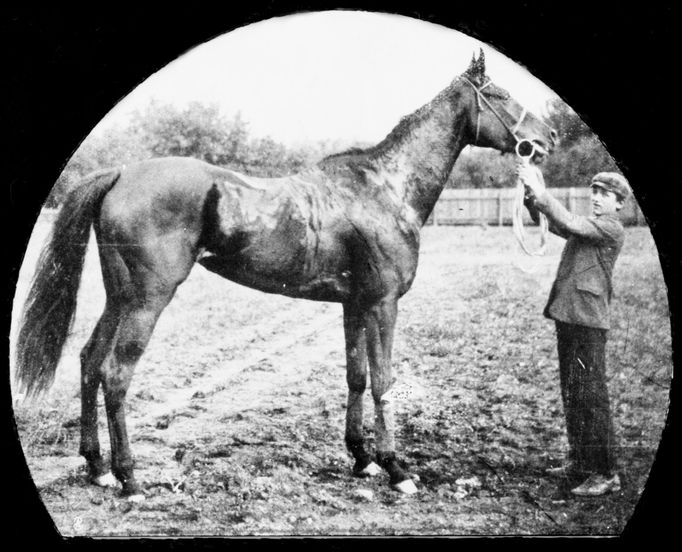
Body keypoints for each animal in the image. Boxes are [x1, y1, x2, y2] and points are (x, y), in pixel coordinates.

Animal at [13, 51, 556, 500]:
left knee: (88, 362)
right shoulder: (383, 303)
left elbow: (356, 376)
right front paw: (397, 469)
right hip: (148, 300)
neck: (385, 187)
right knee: (115, 373)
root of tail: (122, 173)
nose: (548, 138)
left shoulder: (354, 304)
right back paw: (129, 478)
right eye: (501, 96)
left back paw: (97, 468)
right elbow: (384, 380)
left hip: (120, 297)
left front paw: (362, 459)